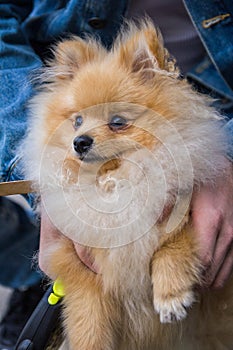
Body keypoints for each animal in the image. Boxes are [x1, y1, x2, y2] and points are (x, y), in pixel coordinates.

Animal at [23, 19, 233, 350]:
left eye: (118, 122)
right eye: (78, 120)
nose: (79, 142)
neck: (114, 183)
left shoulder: (187, 217)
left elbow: (172, 247)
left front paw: (170, 296)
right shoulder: (83, 272)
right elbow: (89, 324)